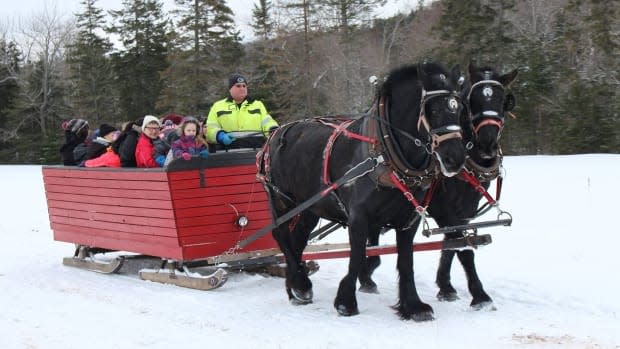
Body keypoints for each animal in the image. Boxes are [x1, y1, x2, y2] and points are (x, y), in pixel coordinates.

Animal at [260, 61, 468, 320]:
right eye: (434, 109)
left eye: (458, 109)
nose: (455, 159)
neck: (383, 153)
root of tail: (276, 133)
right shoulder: (359, 217)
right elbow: (357, 256)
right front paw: (346, 302)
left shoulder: (407, 220)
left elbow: (406, 261)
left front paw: (412, 305)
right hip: (282, 200)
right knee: (281, 235)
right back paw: (300, 284)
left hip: (309, 207)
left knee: (297, 240)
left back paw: (295, 288)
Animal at [358, 61, 520, 310]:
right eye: (471, 101)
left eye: (503, 100)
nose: (487, 144)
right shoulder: (441, 207)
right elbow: (462, 246)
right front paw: (477, 294)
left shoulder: (465, 211)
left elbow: (453, 244)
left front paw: (446, 286)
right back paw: (365, 275)